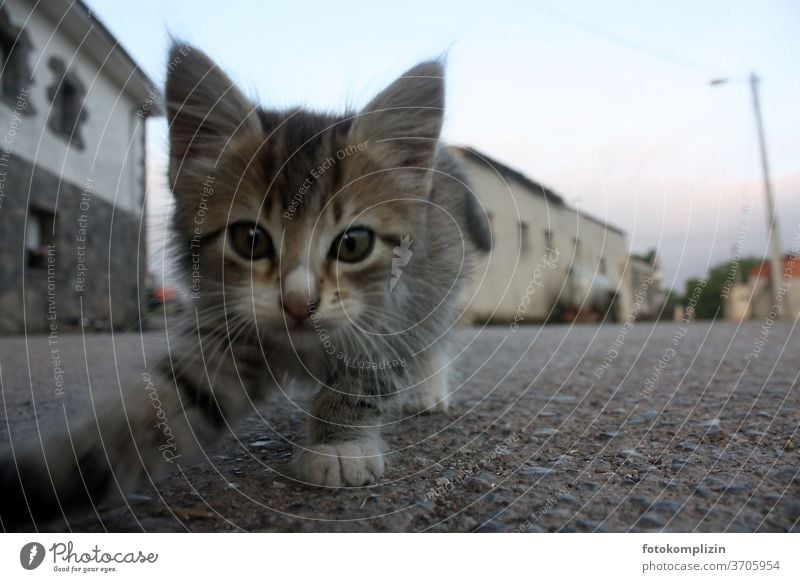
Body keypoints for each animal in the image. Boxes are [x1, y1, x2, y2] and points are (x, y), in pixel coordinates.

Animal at [0, 43, 490, 532]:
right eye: (249, 240)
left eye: (354, 244)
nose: (298, 304)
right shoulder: (226, 331)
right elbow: (164, 403)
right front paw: (59, 471)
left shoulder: (388, 318)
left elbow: (363, 382)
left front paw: (339, 445)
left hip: (438, 278)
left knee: (435, 335)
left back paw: (428, 391)